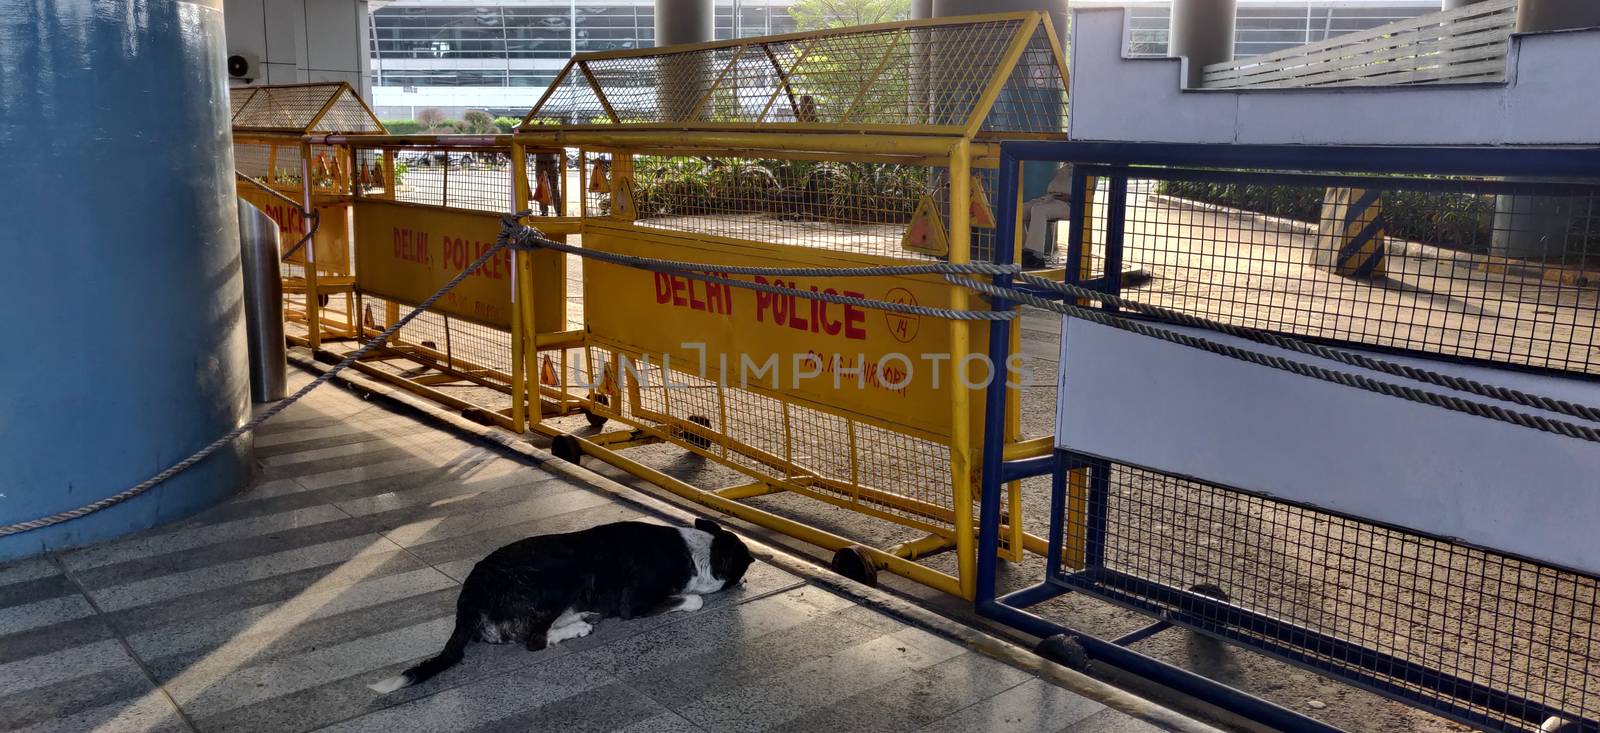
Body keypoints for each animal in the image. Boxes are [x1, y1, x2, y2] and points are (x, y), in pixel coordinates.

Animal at [368, 515, 755, 691]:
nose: (746, 581)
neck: (696, 552)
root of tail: (469, 598)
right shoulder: (635, 602)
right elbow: (694, 600)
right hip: (562, 577)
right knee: (534, 640)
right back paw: (576, 626)